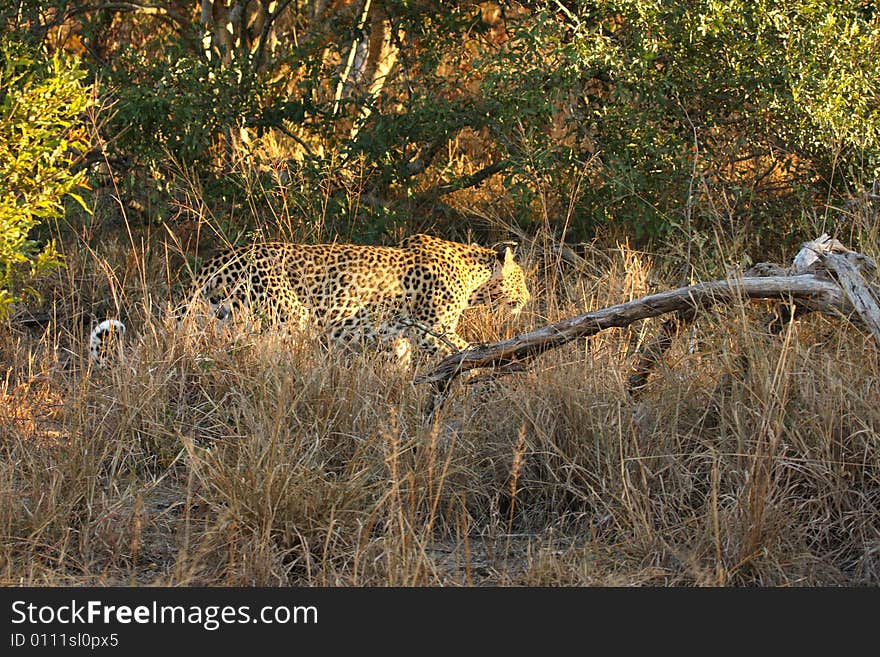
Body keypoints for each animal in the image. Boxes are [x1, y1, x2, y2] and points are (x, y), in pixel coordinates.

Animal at [89, 232, 528, 366]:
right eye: (521, 281)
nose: (528, 298)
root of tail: (223, 256)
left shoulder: (398, 337)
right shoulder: (430, 329)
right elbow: (466, 350)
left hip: (219, 315)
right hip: (286, 316)